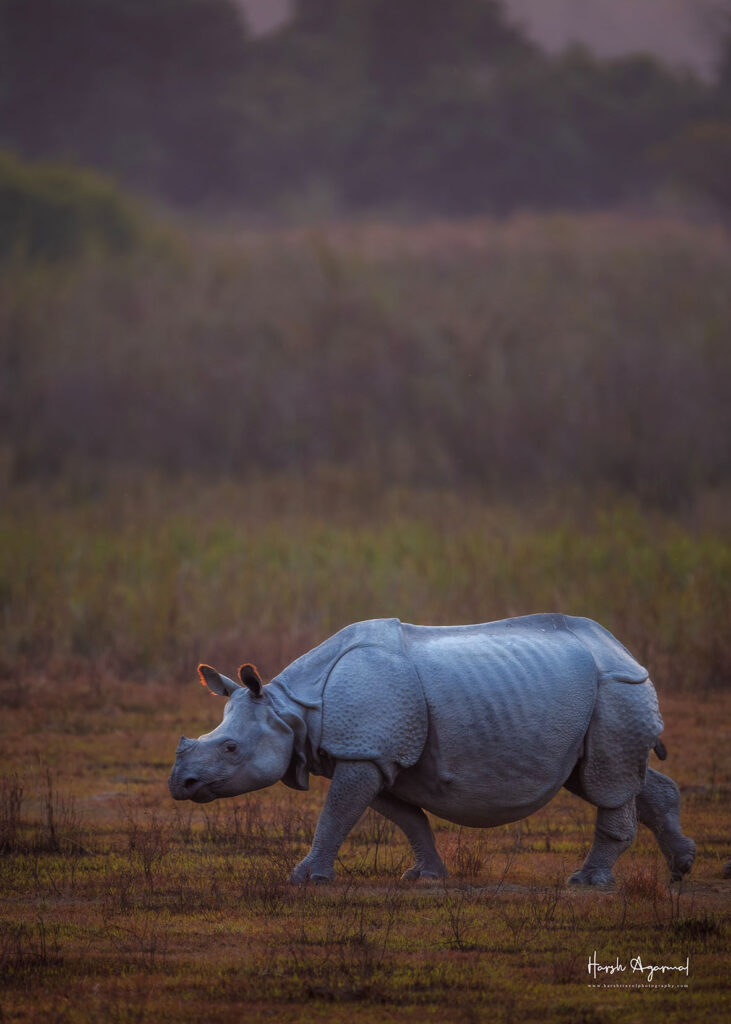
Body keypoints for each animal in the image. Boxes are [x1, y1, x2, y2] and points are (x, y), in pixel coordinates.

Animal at [168, 615, 695, 887]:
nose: (179, 784)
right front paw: (425, 877)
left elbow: (336, 813)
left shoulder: (365, 750)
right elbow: (406, 818)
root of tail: (623, 649)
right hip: (600, 695)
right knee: (611, 776)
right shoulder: (376, 755)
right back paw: (682, 867)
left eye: (231, 748)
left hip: (618, 688)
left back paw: (586, 883)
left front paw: (305, 878)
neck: (293, 710)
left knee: (609, 780)